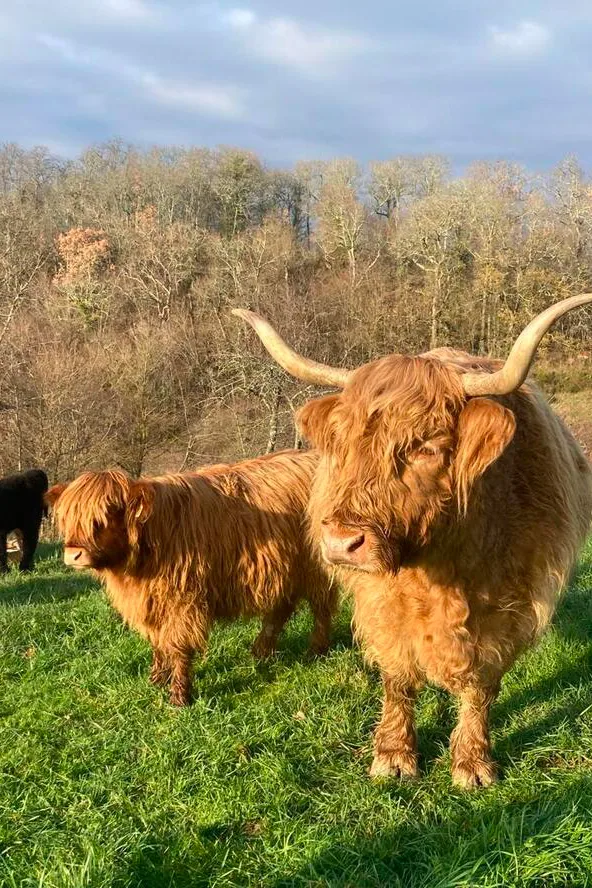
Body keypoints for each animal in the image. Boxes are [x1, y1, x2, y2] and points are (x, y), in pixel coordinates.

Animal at [45, 450, 337, 706]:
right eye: (68, 518)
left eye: (107, 515)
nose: (73, 554)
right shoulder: (151, 602)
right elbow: (158, 642)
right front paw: (156, 679)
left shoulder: (183, 601)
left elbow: (178, 646)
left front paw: (179, 696)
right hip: (285, 570)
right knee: (281, 609)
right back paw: (261, 652)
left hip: (317, 568)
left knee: (321, 607)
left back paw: (316, 651)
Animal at [233, 294, 592, 788]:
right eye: (343, 443)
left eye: (427, 446)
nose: (342, 542)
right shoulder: (381, 600)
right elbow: (398, 676)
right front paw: (394, 754)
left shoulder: (512, 604)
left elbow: (481, 684)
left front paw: (472, 761)